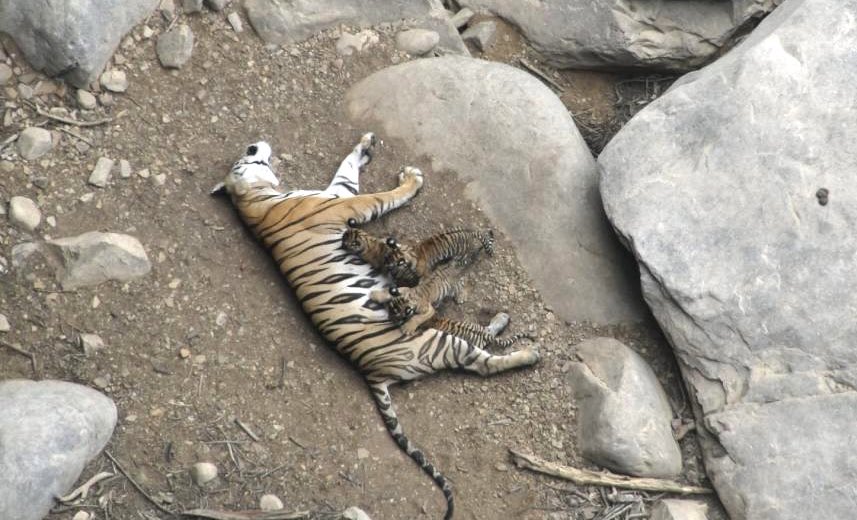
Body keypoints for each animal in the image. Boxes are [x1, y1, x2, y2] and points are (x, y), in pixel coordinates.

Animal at [212, 133, 539, 520]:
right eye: (244, 158)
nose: (253, 145)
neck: (257, 200)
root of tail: (372, 372)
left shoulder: (339, 190)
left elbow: (347, 167)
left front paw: (365, 145)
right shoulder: (345, 205)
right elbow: (383, 196)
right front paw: (412, 180)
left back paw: (502, 322)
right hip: (436, 341)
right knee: (484, 361)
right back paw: (529, 352)